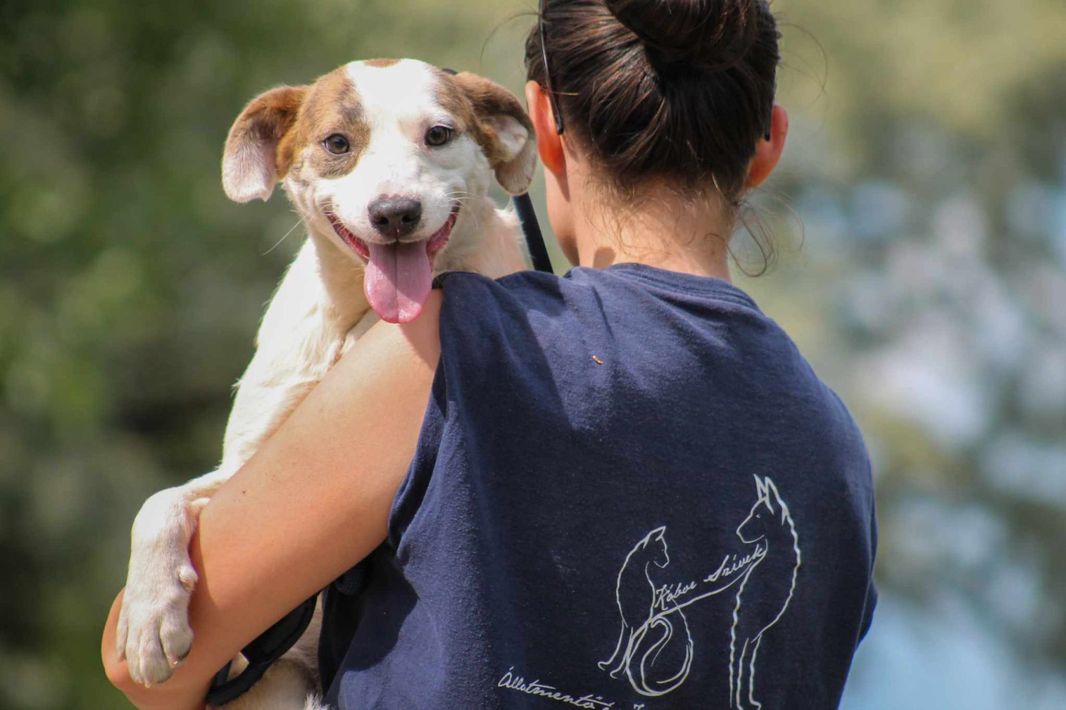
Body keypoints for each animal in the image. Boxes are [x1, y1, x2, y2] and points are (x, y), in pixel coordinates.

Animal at [115, 58, 537, 708]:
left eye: (439, 134)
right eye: (338, 143)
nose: (396, 212)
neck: (351, 319)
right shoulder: (243, 471)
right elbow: (158, 501)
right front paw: (148, 612)